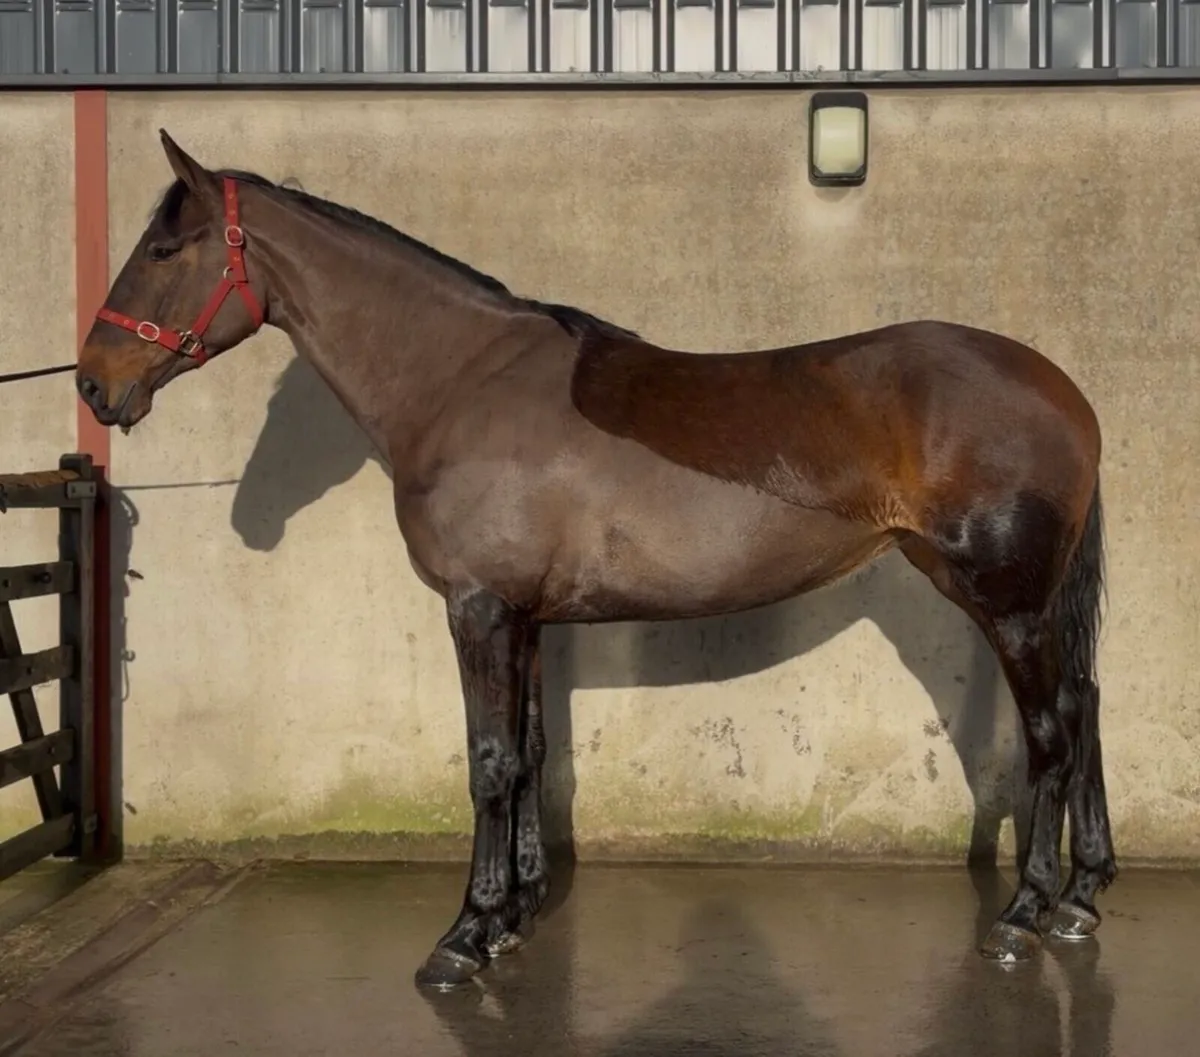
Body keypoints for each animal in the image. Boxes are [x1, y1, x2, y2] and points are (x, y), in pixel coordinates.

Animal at [75, 129, 1116, 988]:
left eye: (163, 251)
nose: (93, 382)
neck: (460, 382)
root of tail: (1064, 393)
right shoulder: (525, 616)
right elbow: (532, 753)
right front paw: (513, 918)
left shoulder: (479, 608)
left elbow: (489, 761)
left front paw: (463, 937)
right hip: (1033, 606)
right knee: (1083, 707)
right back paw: (1081, 897)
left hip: (1008, 602)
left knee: (1050, 733)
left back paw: (1024, 915)